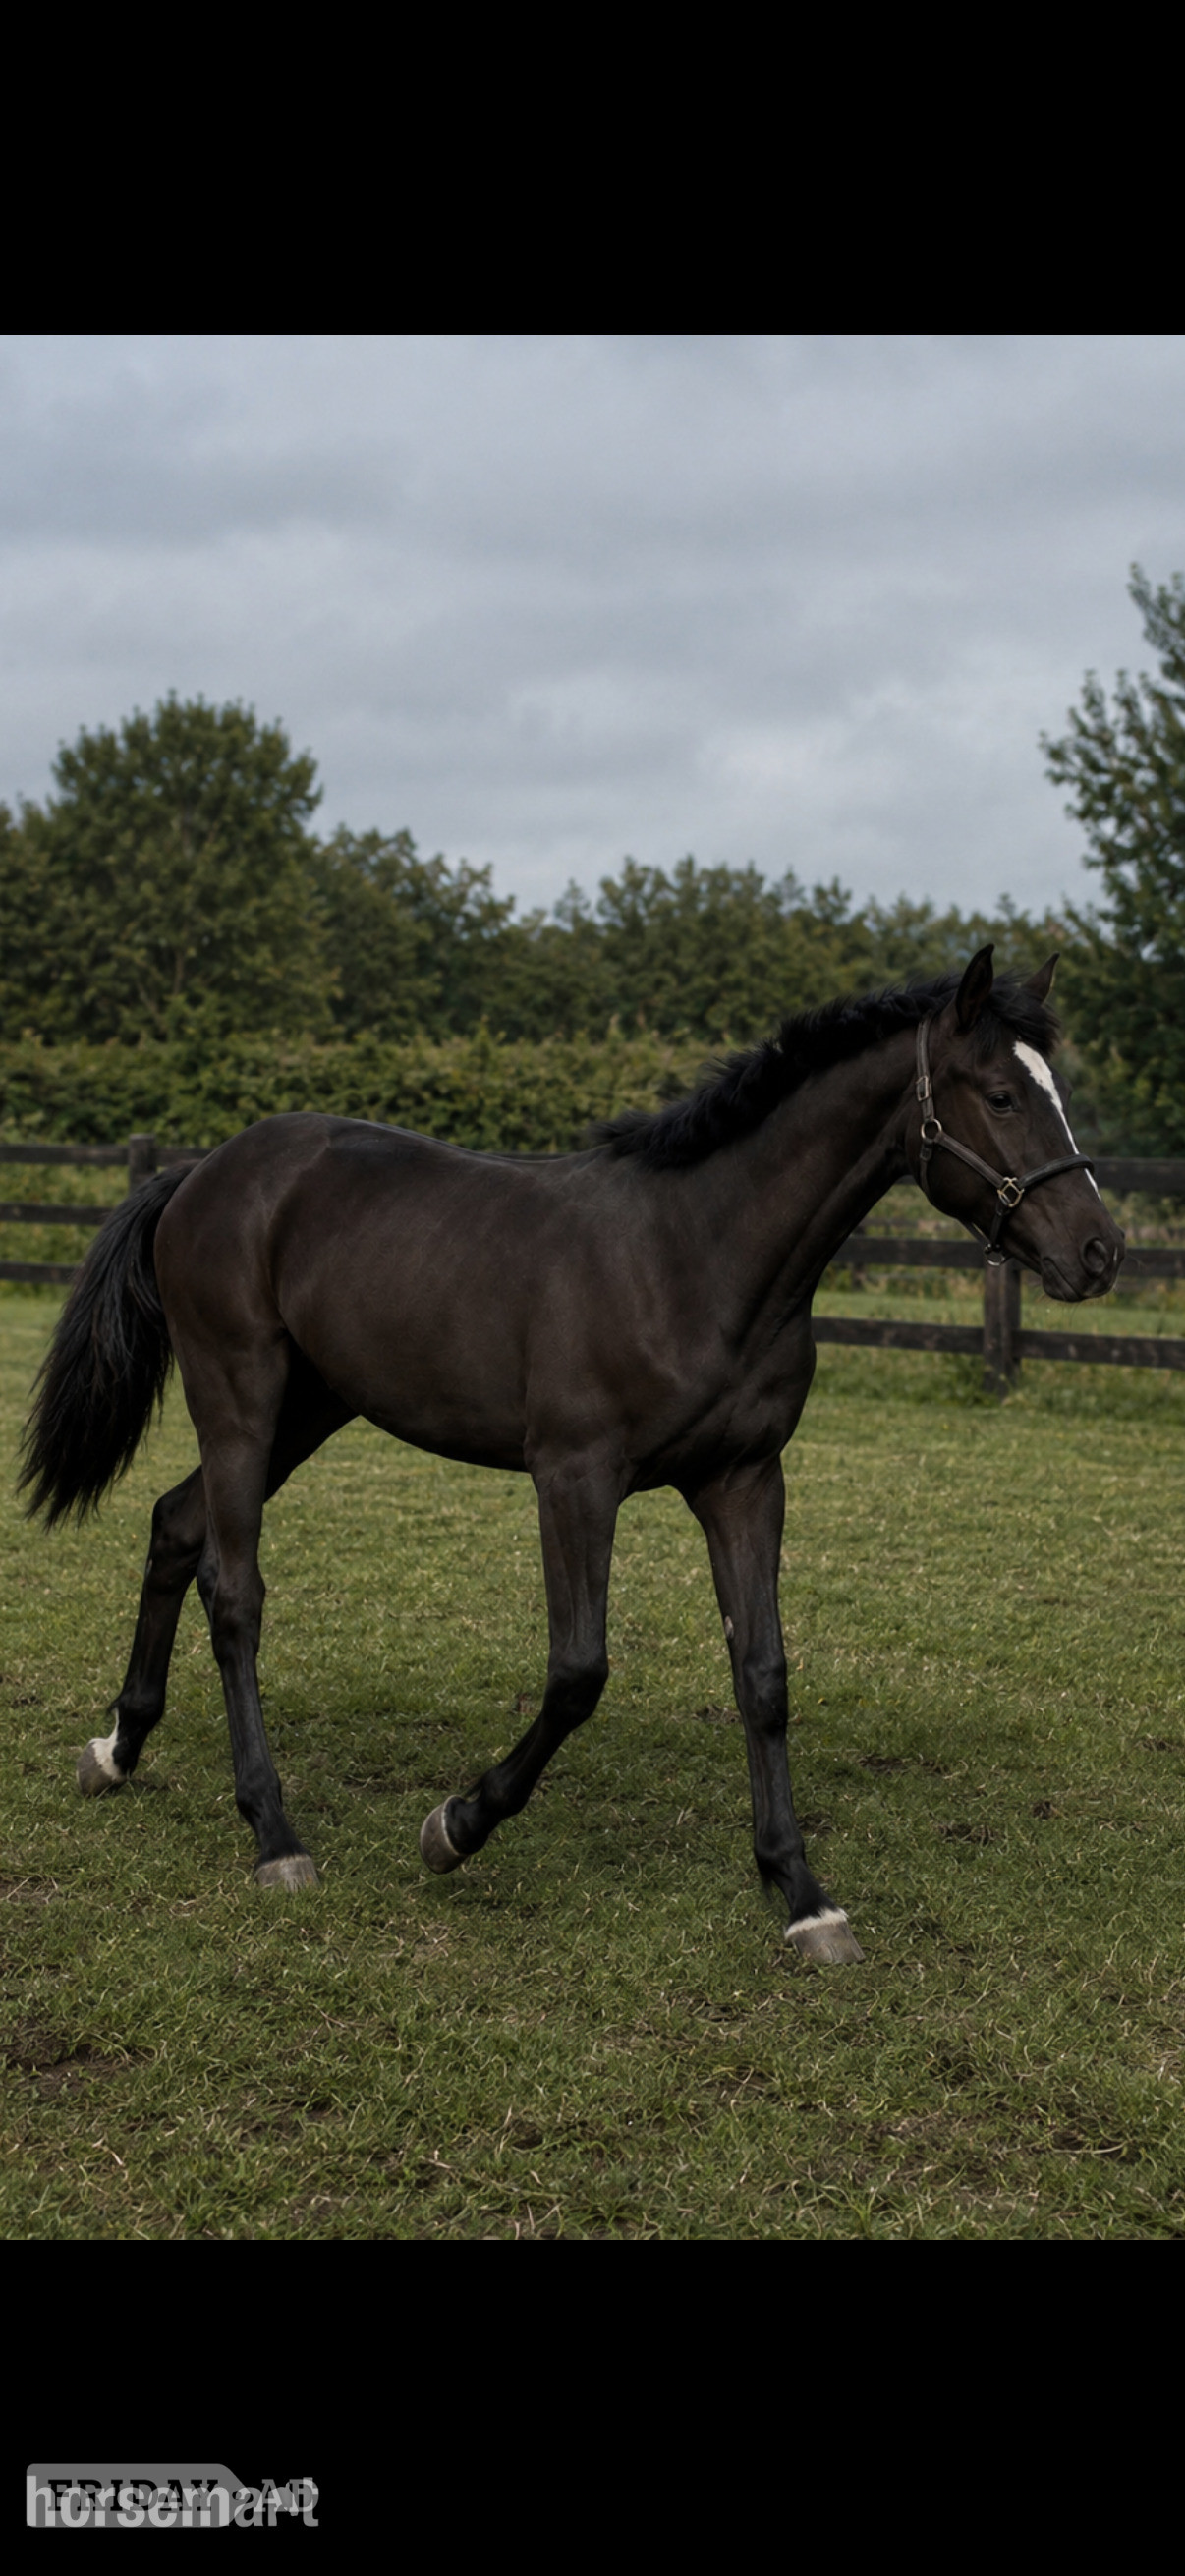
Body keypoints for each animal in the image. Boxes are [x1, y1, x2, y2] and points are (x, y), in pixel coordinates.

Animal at [19, 945, 1123, 1963]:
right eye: (1002, 1093)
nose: (1101, 1253)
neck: (693, 1256)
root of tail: (203, 1172)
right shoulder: (576, 1478)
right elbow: (578, 1672)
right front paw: (454, 1827)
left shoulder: (744, 1481)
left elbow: (763, 1676)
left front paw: (804, 1897)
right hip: (240, 1399)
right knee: (235, 1590)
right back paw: (275, 1837)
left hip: (311, 1407)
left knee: (175, 1525)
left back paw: (117, 1749)